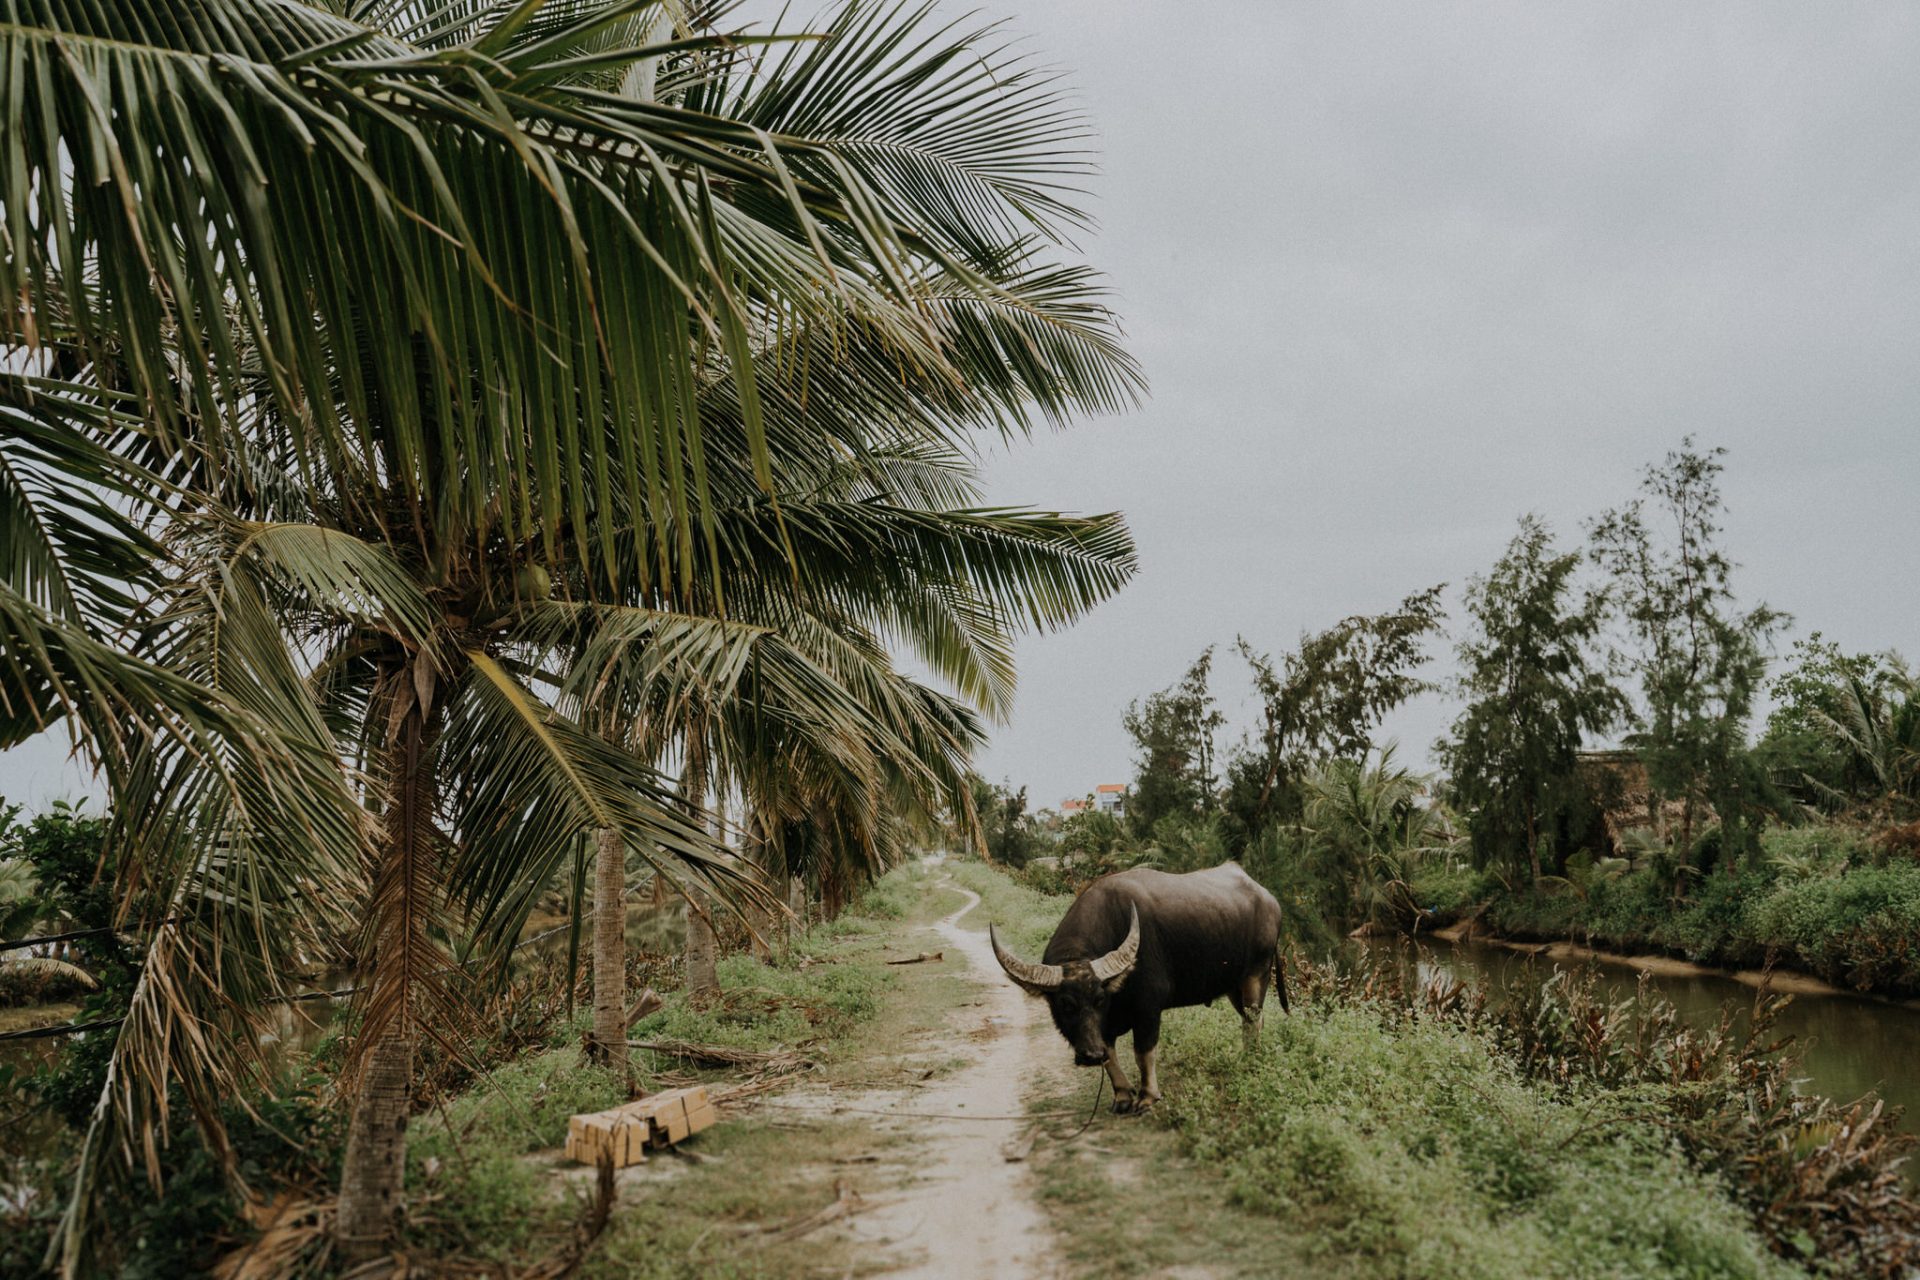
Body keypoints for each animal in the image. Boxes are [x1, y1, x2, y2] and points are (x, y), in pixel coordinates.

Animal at [990, 859, 1290, 1113]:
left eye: (1100, 999)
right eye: (1064, 1004)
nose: (1090, 1055)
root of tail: (1270, 899)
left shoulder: (1148, 1010)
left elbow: (1143, 1053)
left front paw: (1147, 1097)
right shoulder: (1105, 1027)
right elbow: (1110, 1056)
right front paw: (1123, 1095)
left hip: (1257, 974)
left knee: (1252, 1019)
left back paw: (1250, 1061)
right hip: (1233, 986)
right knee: (1254, 1020)